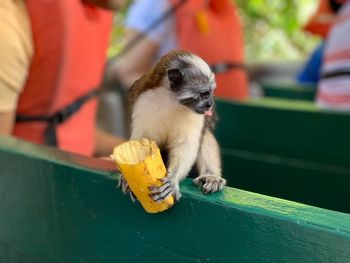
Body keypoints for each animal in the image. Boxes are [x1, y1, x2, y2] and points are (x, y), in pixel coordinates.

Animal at [118, 49, 227, 202]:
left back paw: (211, 176)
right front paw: (126, 178)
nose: (210, 104)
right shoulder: (143, 102)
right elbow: (141, 142)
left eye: (211, 93)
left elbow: (186, 145)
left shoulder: (196, 117)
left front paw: (172, 180)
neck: (172, 101)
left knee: (205, 136)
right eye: (204, 94)